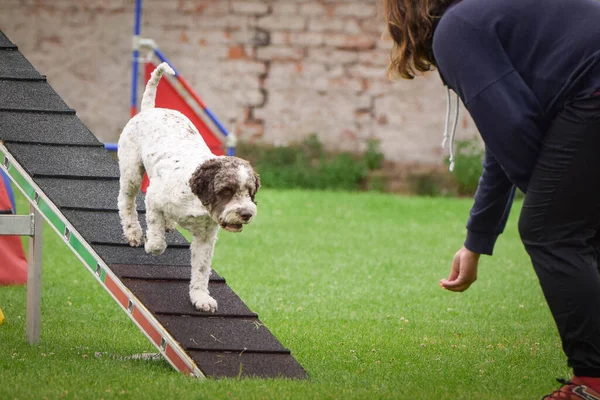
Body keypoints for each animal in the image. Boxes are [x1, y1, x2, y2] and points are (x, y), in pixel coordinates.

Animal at [116, 62, 258, 312]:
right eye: (226, 191)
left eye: (250, 193)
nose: (246, 214)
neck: (198, 202)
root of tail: (150, 110)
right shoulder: (154, 197)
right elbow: (156, 241)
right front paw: (151, 242)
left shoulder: (206, 238)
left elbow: (201, 270)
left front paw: (201, 298)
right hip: (132, 171)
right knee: (126, 200)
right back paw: (133, 232)